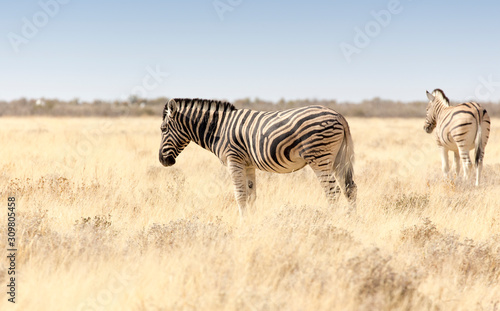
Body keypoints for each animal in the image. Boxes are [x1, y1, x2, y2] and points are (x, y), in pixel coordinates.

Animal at [158, 98, 358, 216]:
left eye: (163, 129)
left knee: (333, 192)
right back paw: (351, 221)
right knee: (350, 189)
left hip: (319, 158)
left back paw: (330, 221)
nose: (163, 161)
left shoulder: (234, 160)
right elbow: (251, 195)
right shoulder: (248, 164)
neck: (218, 128)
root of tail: (339, 115)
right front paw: (251, 222)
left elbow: (240, 195)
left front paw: (242, 224)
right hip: (338, 159)